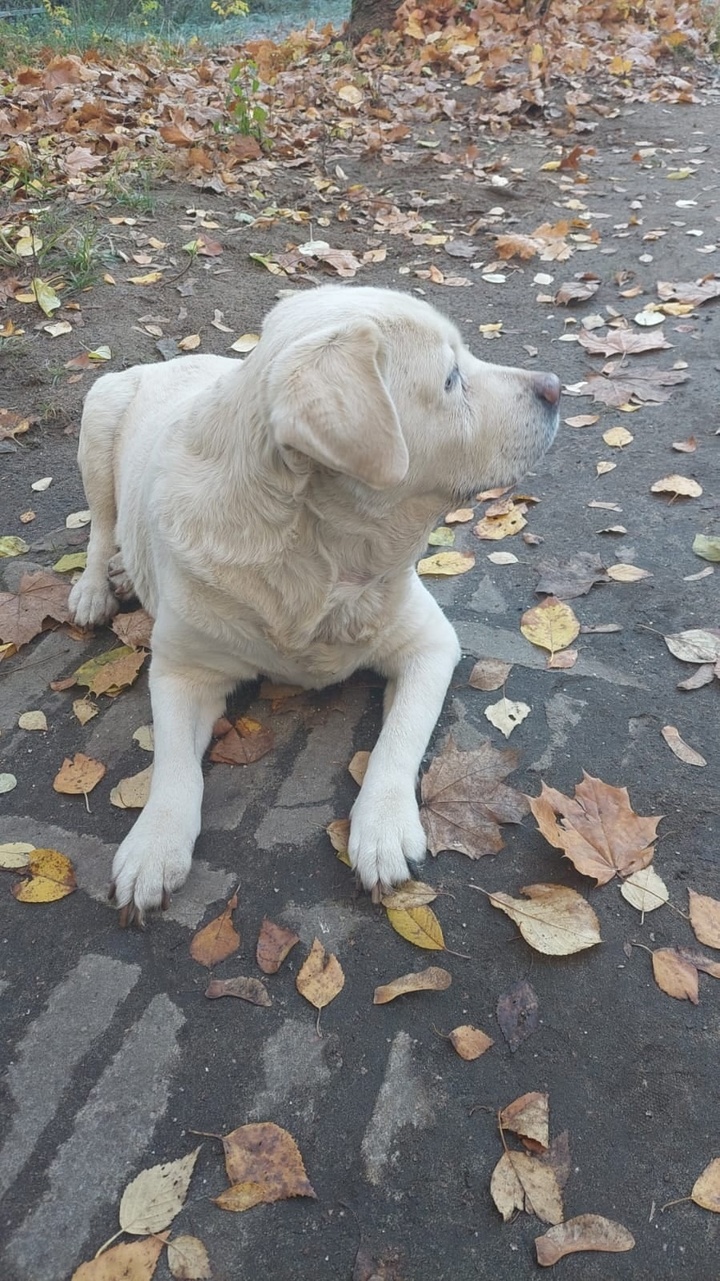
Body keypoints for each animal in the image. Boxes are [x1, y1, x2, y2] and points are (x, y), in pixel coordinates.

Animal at [67, 285, 558, 922]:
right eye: (452, 379)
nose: (555, 386)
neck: (322, 552)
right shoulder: (180, 670)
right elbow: (172, 764)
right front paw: (153, 846)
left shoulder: (430, 644)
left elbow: (399, 739)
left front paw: (381, 829)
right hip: (100, 413)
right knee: (101, 527)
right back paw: (94, 588)